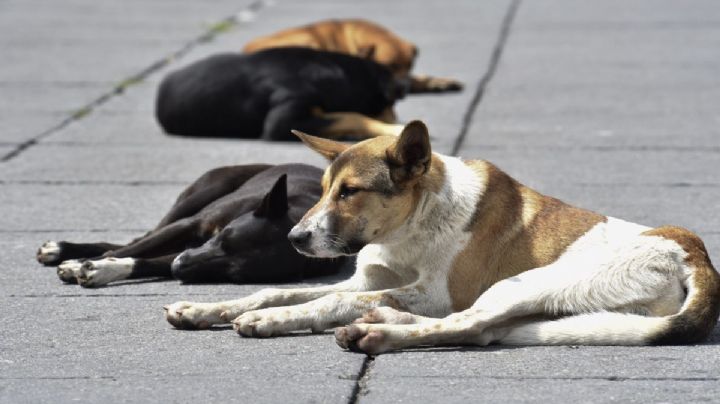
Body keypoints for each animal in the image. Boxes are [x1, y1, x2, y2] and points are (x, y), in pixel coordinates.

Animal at [35, 164, 344, 288]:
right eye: (223, 237)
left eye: (234, 275)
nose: (180, 267)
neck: (297, 214)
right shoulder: (189, 227)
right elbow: (134, 250)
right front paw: (82, 263)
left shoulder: (188, 253)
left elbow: (146, 261)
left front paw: (103, 269)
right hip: (200, 195)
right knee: (138, 239)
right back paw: (63, 250)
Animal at [165, 120, 720, 354]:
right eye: (322, 190)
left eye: (350, 192)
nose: (296, 238)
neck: (413, 224)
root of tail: (695, 255)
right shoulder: (366, 279)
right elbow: (279, 289)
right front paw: (208, 308)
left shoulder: (436, 292)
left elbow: (322, 303)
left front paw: (271, 321)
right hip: (557, 308)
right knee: (482, 330)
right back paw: (382, 322)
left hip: (527, 284)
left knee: (468, 323)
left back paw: (380, 333)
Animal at [242, 19, 462, 94]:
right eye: (387, 67)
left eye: (409, 66)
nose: (401, 90)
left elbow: (418, 78)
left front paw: (441, 81)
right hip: (306, 41)